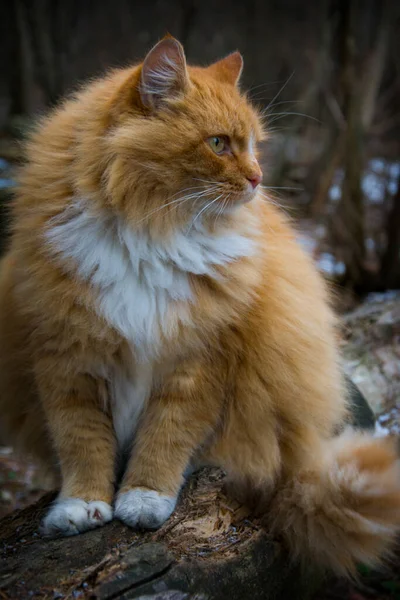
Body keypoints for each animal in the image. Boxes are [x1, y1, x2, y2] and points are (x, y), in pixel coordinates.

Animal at [0, 34, 400, 576]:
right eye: (218, 144)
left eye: (253, 145)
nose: (257, 179)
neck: (149, 234)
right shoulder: (68, 356)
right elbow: (82, 442)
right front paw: (82, 506)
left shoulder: (201, 359)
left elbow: (165, 438)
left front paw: (144, 497)